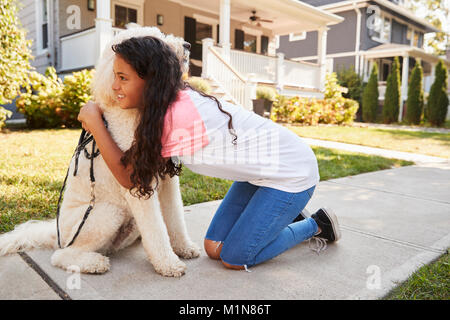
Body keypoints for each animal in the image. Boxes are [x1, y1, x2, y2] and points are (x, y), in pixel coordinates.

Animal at [0, 26, 200, 278]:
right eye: (157, 41)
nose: (188, 46)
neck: (138, 113)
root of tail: (57, 233)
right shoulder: (136, 184)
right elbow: (156, 228)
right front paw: (168, 263)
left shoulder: (167, 180)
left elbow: (175, 218)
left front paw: (184, 247)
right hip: (105, 214)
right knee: (62, 255)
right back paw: (94, 263)